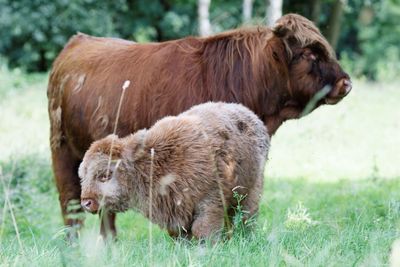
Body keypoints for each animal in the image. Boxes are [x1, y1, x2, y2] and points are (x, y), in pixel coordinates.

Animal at [79, 103, 268, 241]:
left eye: (105, 175)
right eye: (83, 176)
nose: (86, 202)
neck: (157, 164)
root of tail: (251, 116)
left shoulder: (210, 201)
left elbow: (202, 230)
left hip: (251, 192)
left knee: (245, 218)